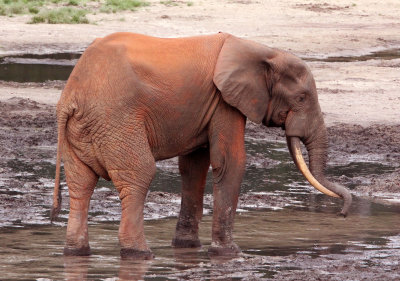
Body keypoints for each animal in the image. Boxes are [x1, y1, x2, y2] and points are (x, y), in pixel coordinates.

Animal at [51, 32, 352, 258]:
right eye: (301, 98)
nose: (343, 213)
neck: (262, 51)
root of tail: (72, 95)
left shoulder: (209, 104)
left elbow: (194, 166)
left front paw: (187, 247)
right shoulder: (225, 101)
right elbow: (230, 162)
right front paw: (230, 254)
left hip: (82, 130)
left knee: (81, 184)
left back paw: (76, 252)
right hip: (116, 120)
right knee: (139, 175)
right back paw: (140, 254)